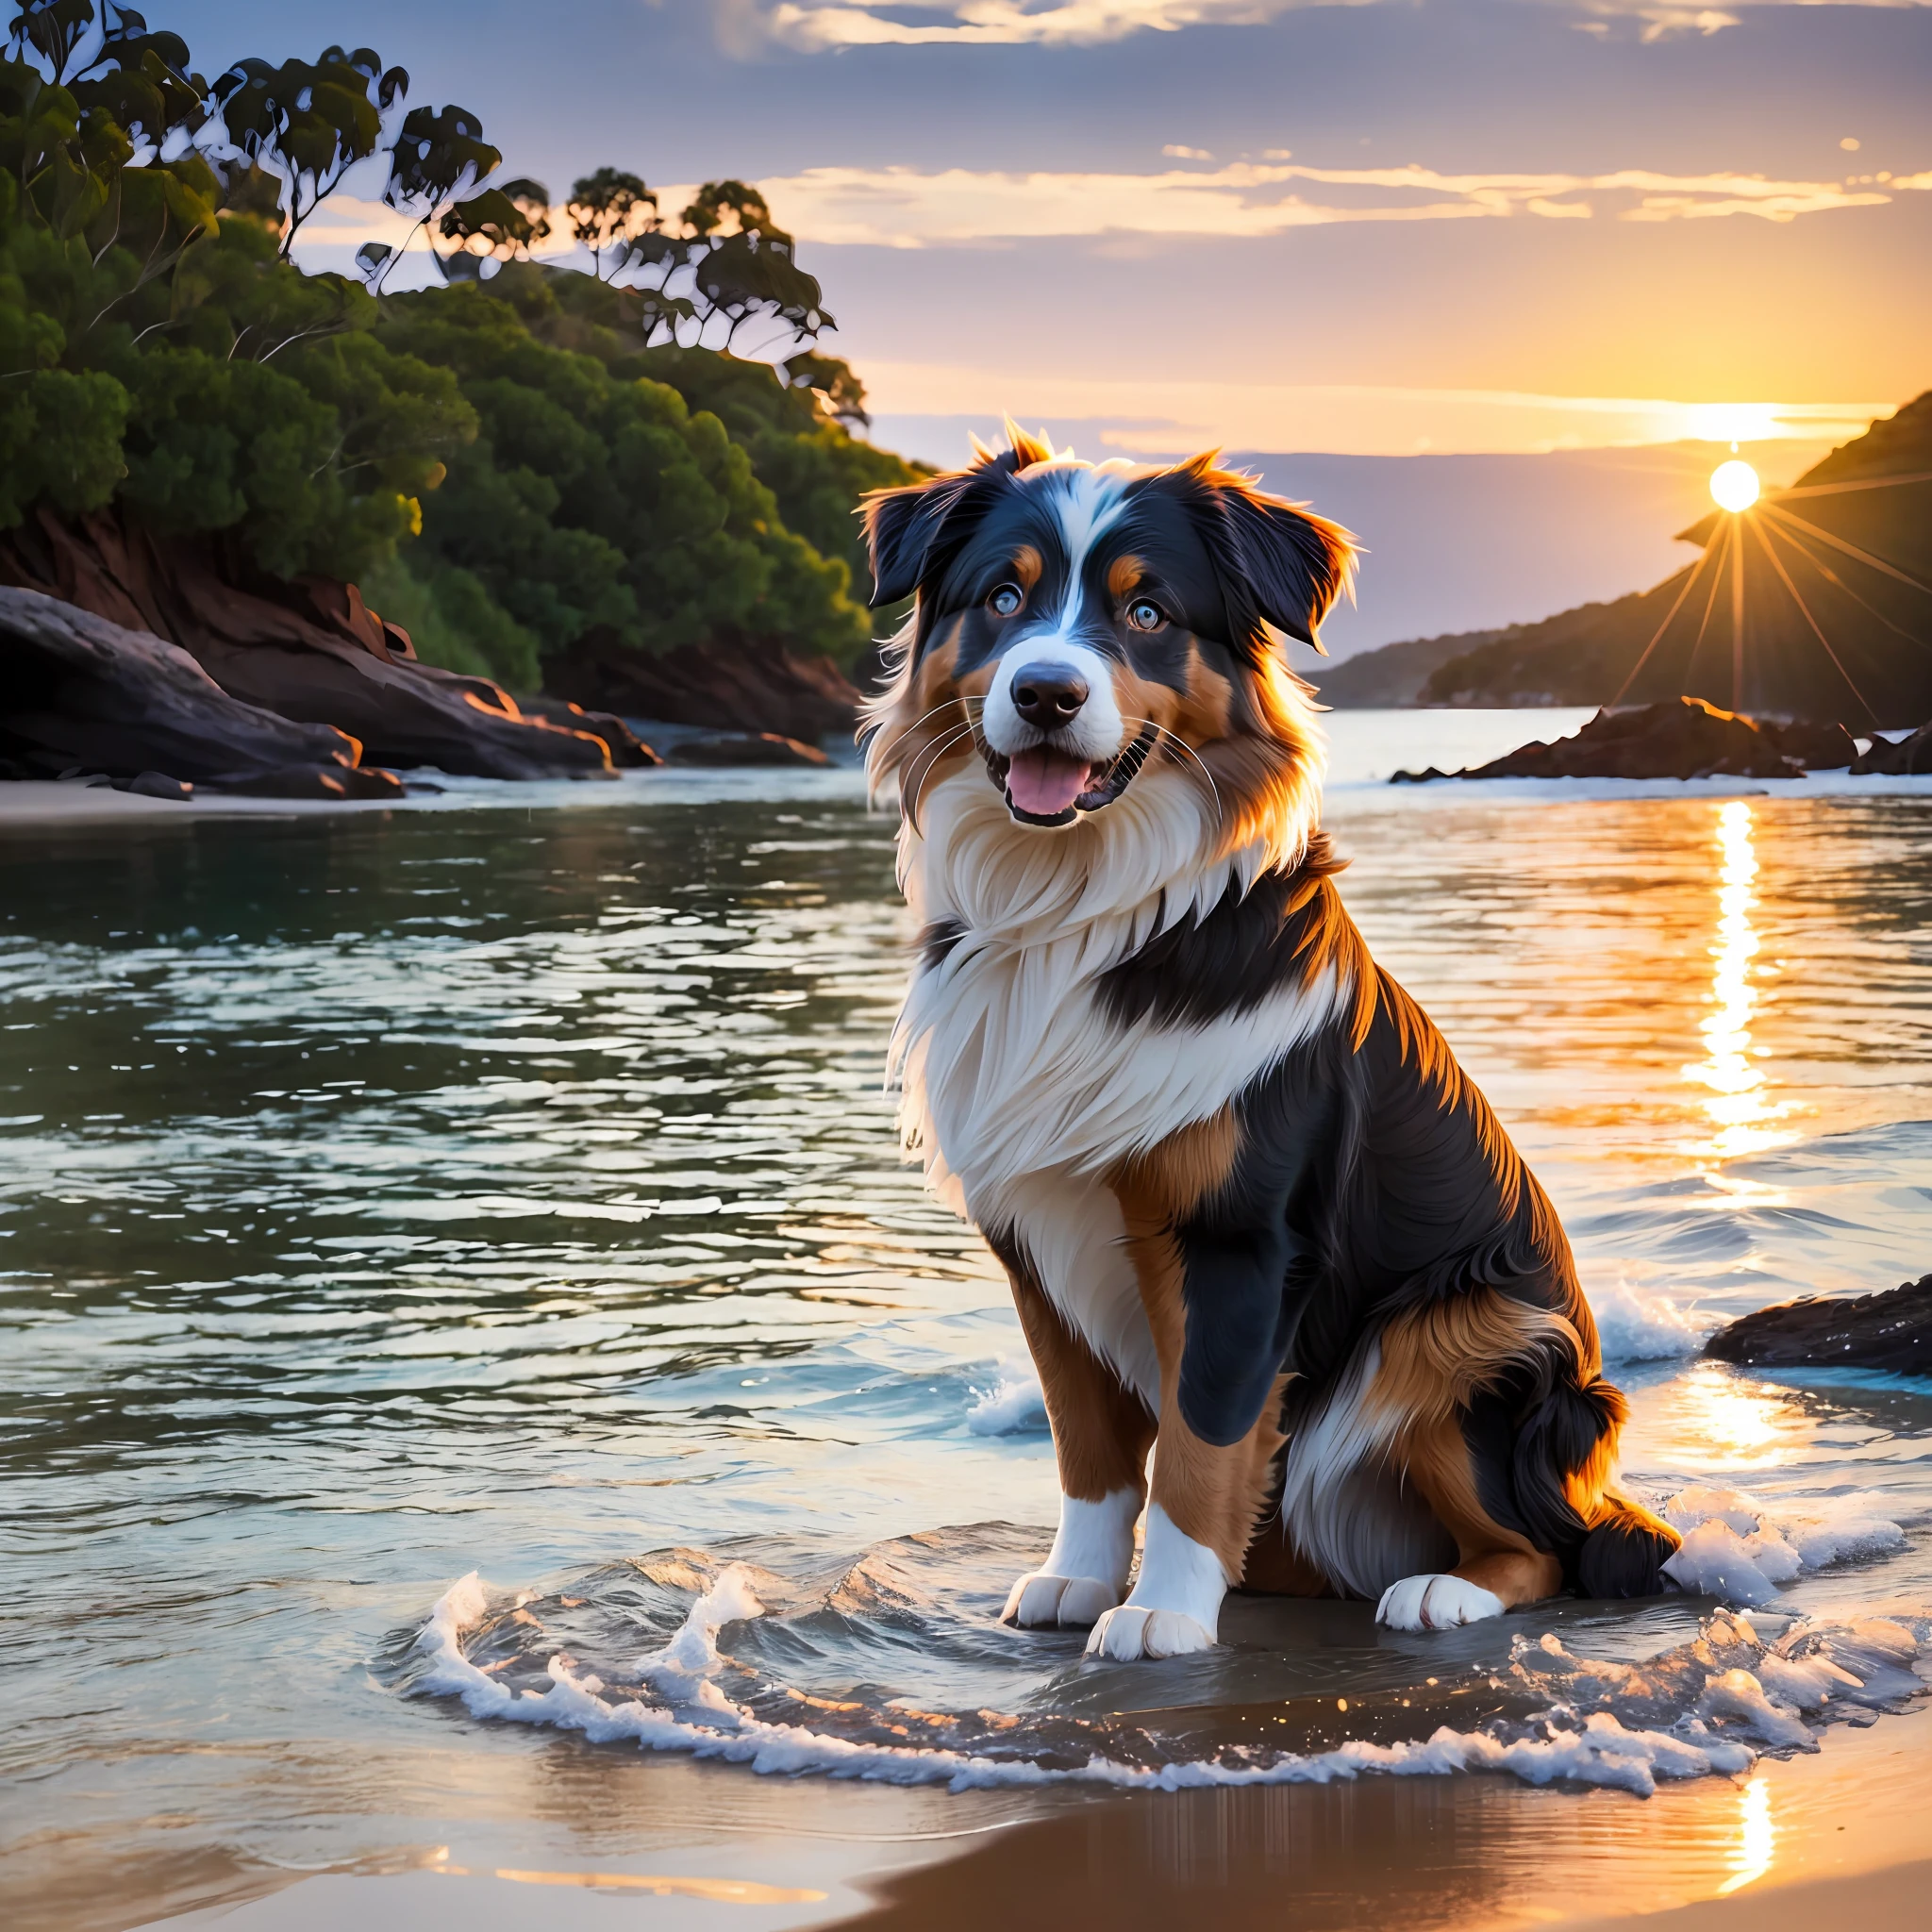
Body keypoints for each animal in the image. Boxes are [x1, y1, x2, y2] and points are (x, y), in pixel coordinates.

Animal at [861, 426, 1676, 1661]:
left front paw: (1162, 1608)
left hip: (1462, 1327)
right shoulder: (1035, 1236)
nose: (1044, 692)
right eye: (1002, 597)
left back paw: (1442, 1590)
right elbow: (1088, 1442)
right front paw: (1079, 1579)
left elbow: (1200, 1440)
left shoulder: (1238, 1238)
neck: (1074, 909)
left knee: (1556, 1544)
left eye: (1146, 611)